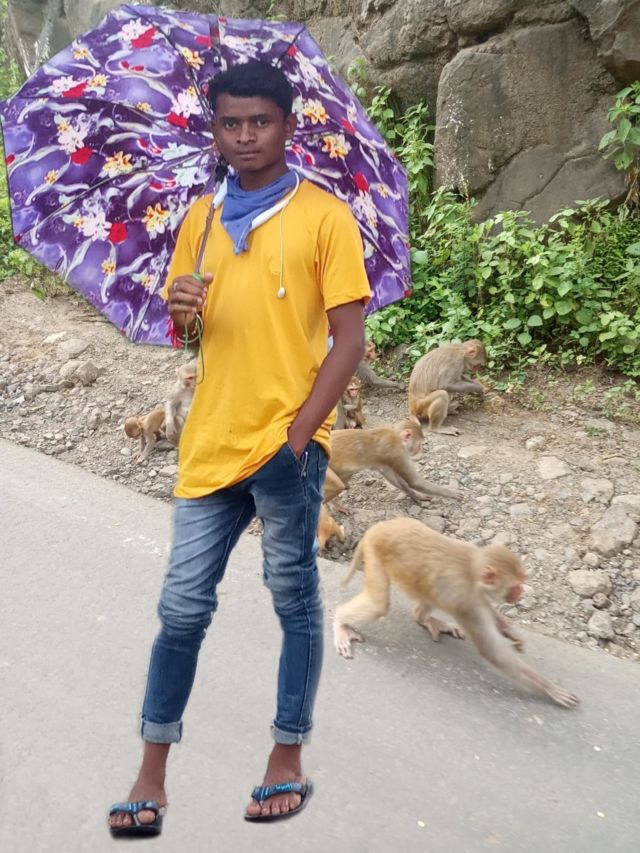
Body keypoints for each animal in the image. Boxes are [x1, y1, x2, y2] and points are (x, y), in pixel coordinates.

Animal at [325, 417, 460, 505]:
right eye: (419, 444)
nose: (421, 449)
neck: (396, 437)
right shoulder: (397, 453)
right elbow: (414, 482)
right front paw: (451, 493)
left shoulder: (387, 460)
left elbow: (392, 476)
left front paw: (415, 495)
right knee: (337, 484)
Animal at [333, 518, 578, 709]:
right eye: (516, 585)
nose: (520, 593)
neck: (473, 570)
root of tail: (378, 526)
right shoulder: (466, 600)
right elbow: (492, 652)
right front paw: (550, 688)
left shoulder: (477, 596)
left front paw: (511, 632)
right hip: (375, 552)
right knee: (379, 604)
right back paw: (340, 622)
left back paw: (424, 618)